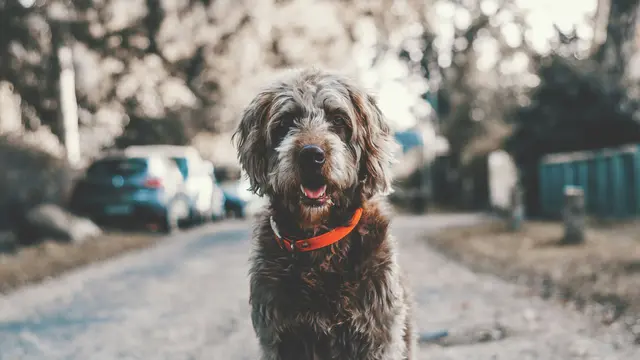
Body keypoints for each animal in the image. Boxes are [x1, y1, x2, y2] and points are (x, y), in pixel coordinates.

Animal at [235, 68, 416, 360]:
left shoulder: (378, 334)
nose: (311, 155)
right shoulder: (280, 338)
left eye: (338, 120)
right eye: (285, 123)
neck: (320, 242)